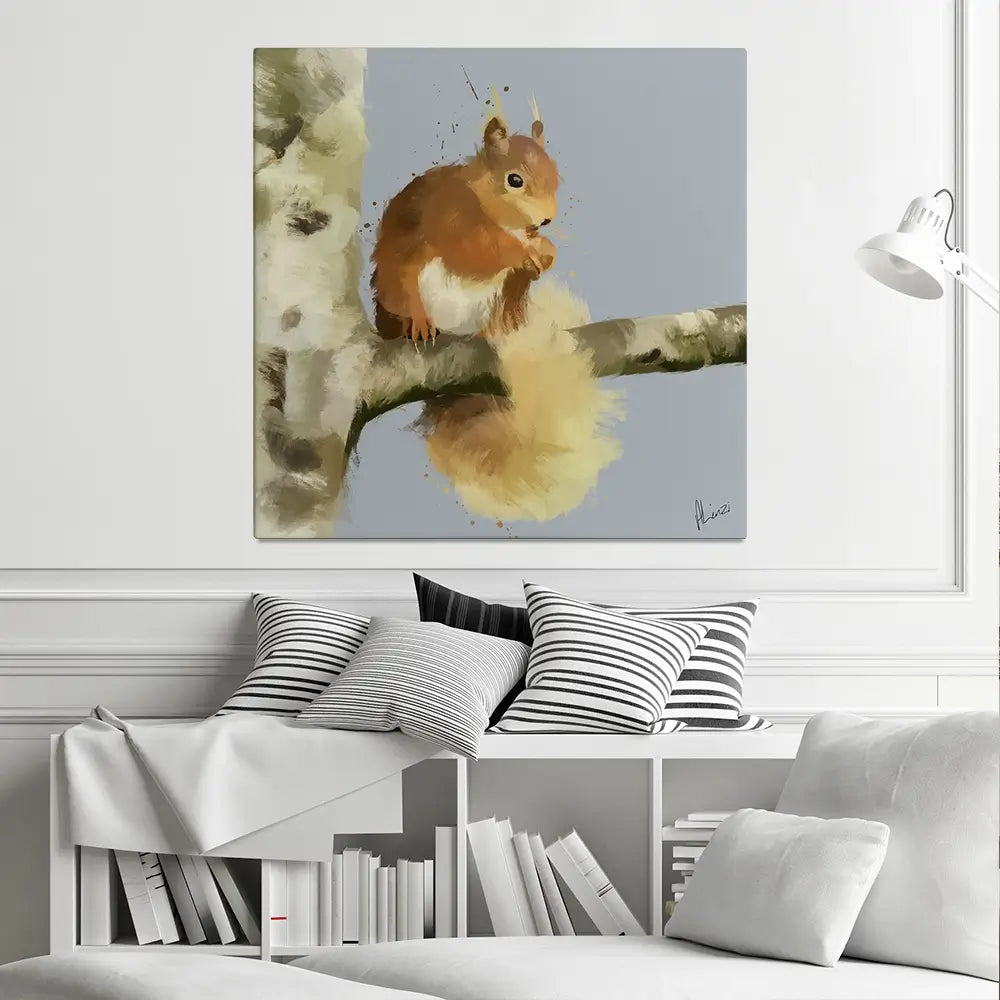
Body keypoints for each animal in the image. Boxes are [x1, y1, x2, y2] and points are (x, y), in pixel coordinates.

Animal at [371, 114, 559, 342]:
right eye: (515, 180)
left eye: (556, 174)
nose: (548, 219)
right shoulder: (454, 220)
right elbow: (478, 251)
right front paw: (524, 253)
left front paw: (547, 250)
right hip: (400, 287)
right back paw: (420, 324)